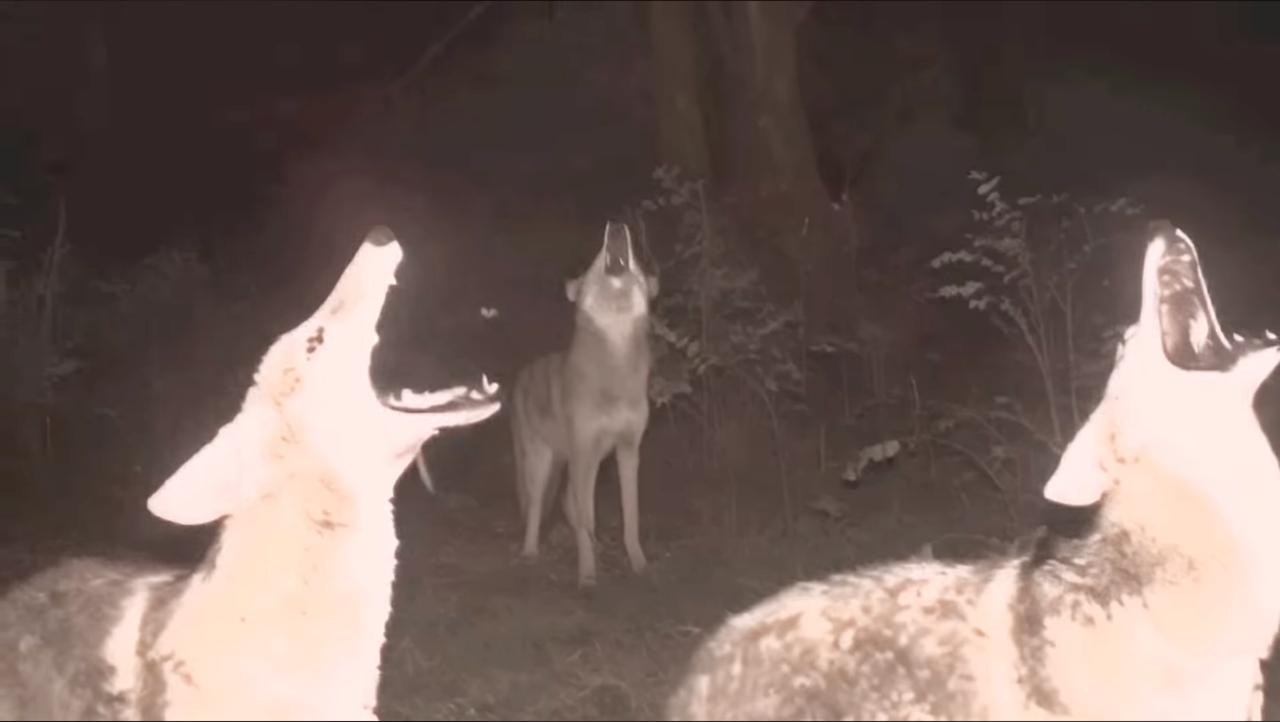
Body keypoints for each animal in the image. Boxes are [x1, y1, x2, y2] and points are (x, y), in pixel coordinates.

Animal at [509, 219, 659, 589]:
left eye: (635, 257)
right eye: (596, 254)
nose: (616, 225)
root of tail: (522, 373)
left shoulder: (628, 450)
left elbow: (630, 518)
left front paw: (638, 564)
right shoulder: (584, 451)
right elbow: (585, 520)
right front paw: (588, 574)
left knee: (568, 503)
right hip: (541, 463)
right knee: (538, 508)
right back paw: (530, 553)